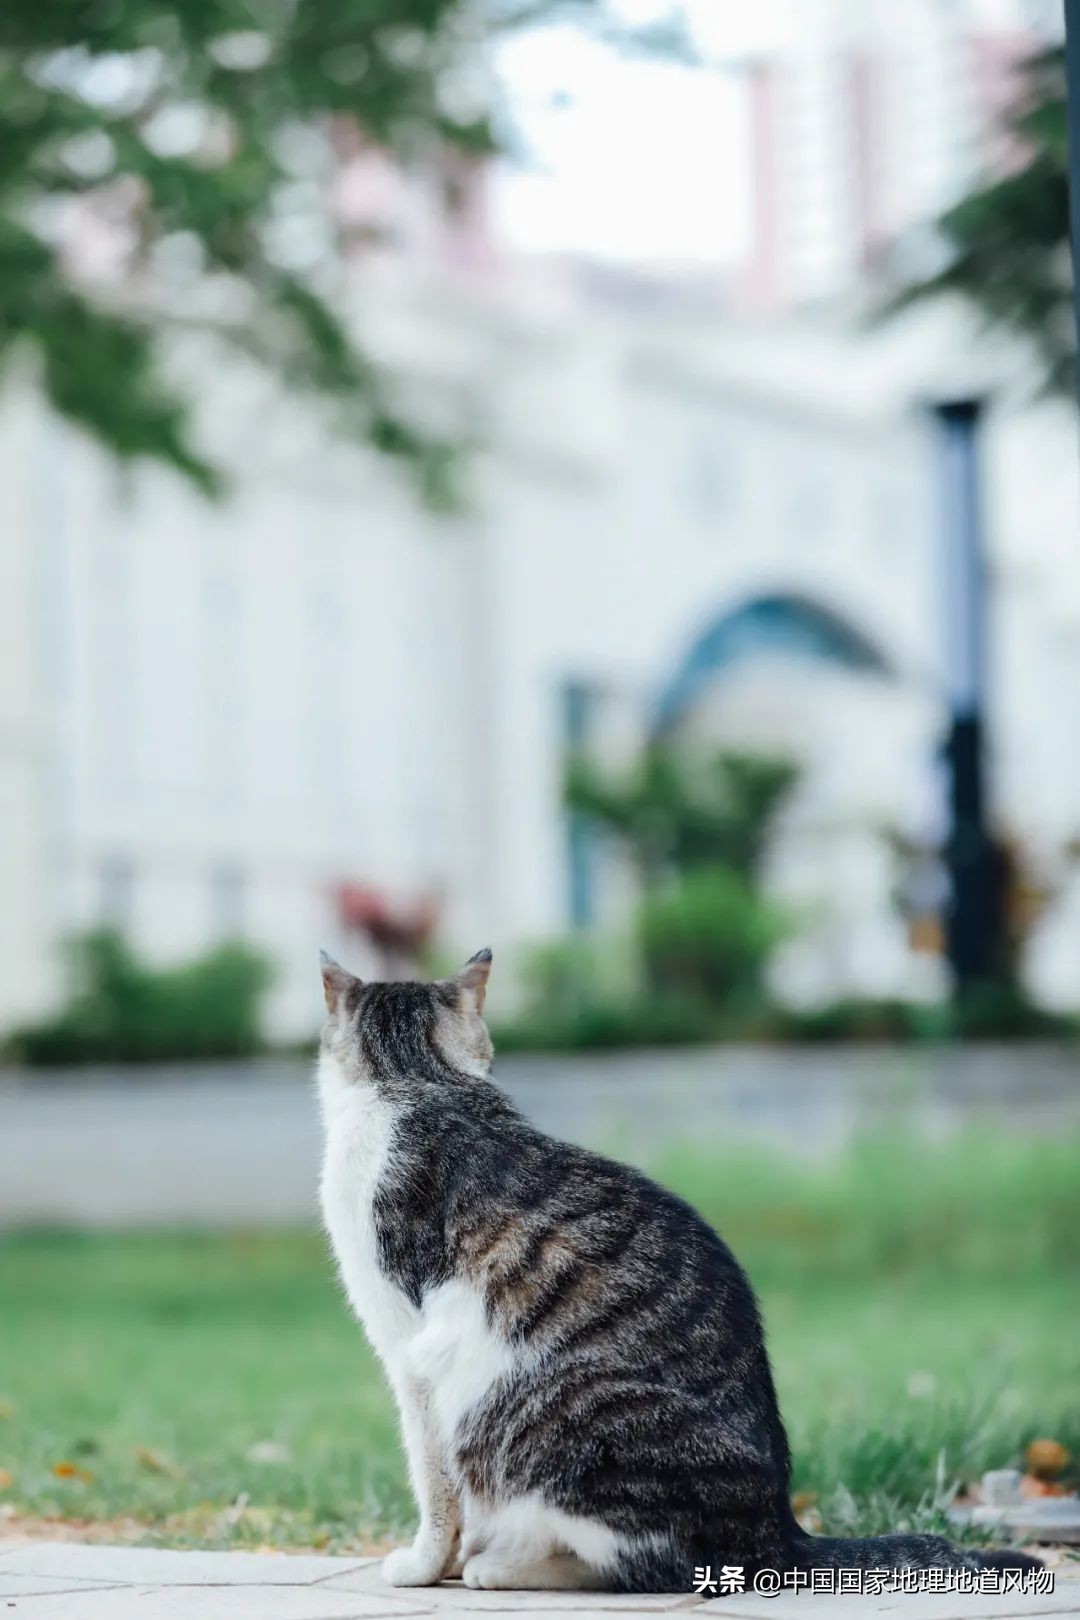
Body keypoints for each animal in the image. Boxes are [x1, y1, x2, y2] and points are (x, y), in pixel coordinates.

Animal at [314, 946, 1036, 1594]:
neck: (419, 1080)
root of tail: (781, 1529)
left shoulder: (410, 1354)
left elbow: (434, 1482)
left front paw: (424, 1564)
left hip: (548, 1414)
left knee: (656, 1565)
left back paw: (504, 1568)